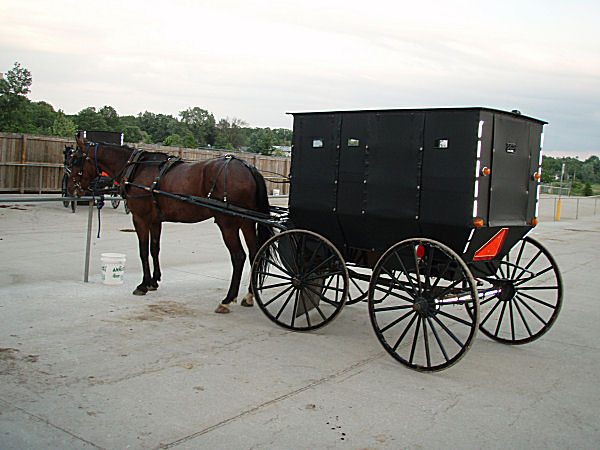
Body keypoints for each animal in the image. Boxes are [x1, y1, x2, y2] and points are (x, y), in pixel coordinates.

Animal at [71, 137, 274, 312]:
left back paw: (227, 299)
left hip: (228, 224)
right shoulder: (155, 220)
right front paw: (154, 281)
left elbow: (143, 251)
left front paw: (143, 284)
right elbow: (154, 249)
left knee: (238, 257)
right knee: (255, 254)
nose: (73, 189)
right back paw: (249, 295)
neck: (137, 169)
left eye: (75, 159)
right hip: (247, 222)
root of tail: (248, 168)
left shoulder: (140, 218)